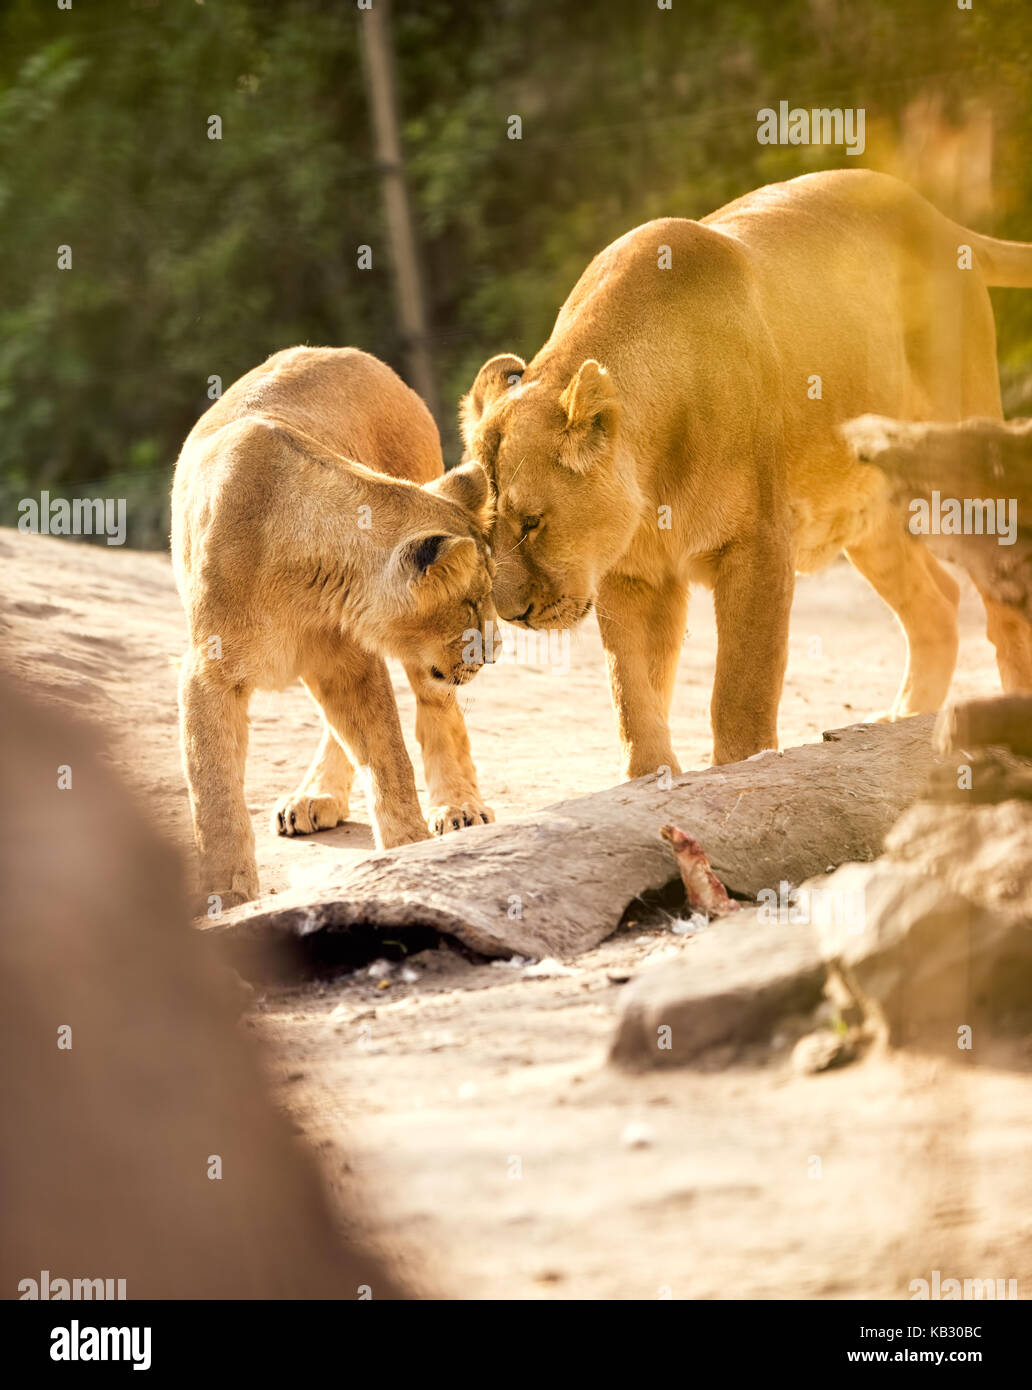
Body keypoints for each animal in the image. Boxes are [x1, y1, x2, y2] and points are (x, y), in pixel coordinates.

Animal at [172, 346, 498, 908]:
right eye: (473, 603)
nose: (493, 649)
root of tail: (364, 358)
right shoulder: (207, 676)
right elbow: (214, 797)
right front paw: (227, 896)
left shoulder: (350, 662)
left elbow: (389, 759)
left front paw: (409, 854)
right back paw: (313, 797)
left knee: (436, 710)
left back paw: (457, 806)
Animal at [461, 169, 1032, 777]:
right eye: (485, 535)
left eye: (532, 523)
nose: (512, 614)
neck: (652, 475)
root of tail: (936, 217)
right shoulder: (629, 572)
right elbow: (631, 689)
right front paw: (648, 777)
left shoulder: (758, 544)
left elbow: (741, 683)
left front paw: (743, 768)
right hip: (864, 511)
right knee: (939, 602)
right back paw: (903, 717)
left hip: (955, 463)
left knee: (1000, 595)